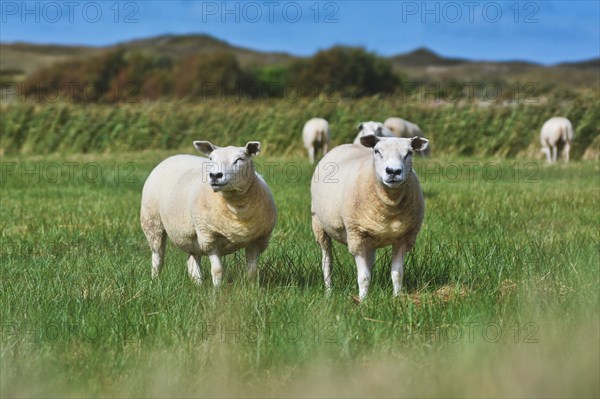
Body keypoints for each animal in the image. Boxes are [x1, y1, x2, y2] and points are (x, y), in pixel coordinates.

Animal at [142, 142, 278, 286]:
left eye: (239, 159)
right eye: (211, 159)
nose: (215, 175)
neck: (236, 207)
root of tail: (172, 157)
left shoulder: (257, 241)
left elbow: (252, 272)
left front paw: (252, 288)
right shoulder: (209, 237)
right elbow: (217, 270)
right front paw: (217, 290)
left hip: (191, 234)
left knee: (192, 260)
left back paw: (198, 284)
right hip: (152, 222)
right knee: (158, 256)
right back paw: (155, 281)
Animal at [312, 134, 428, 300]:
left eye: (409, 153)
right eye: (377, 151)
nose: (393, 171)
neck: (390, 205)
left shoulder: (403, 238)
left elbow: (397, 274)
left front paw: (397, 298)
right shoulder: (357, 236)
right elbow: (363, 277)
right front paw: (363, 300)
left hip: (371, 238)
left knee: (369, 261)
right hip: (318, 223)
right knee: (327, 260)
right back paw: (328, 291)